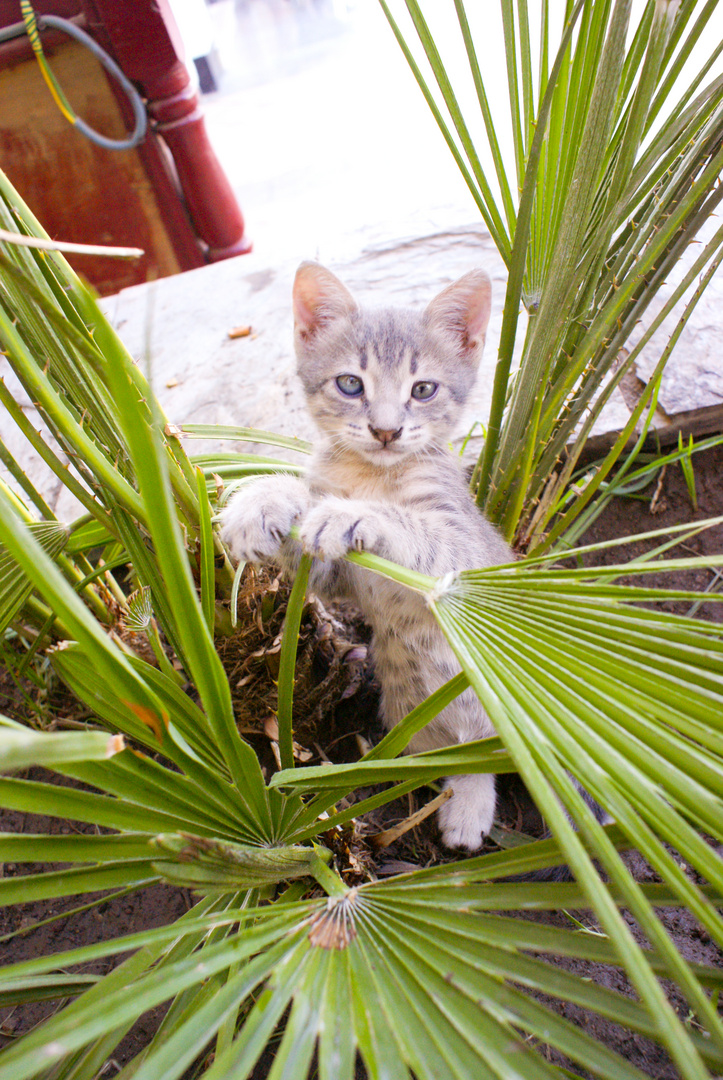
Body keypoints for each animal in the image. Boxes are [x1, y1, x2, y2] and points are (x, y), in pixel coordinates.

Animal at [220, 263, 507, 851]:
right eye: (351, 383)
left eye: (423, 390)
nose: (386, 429)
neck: (371, 474)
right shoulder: (342, 579)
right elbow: (310, 529)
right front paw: (263, 500)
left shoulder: (465, 548)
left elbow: (416, 530)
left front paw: (355, 514)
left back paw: (469, 810)